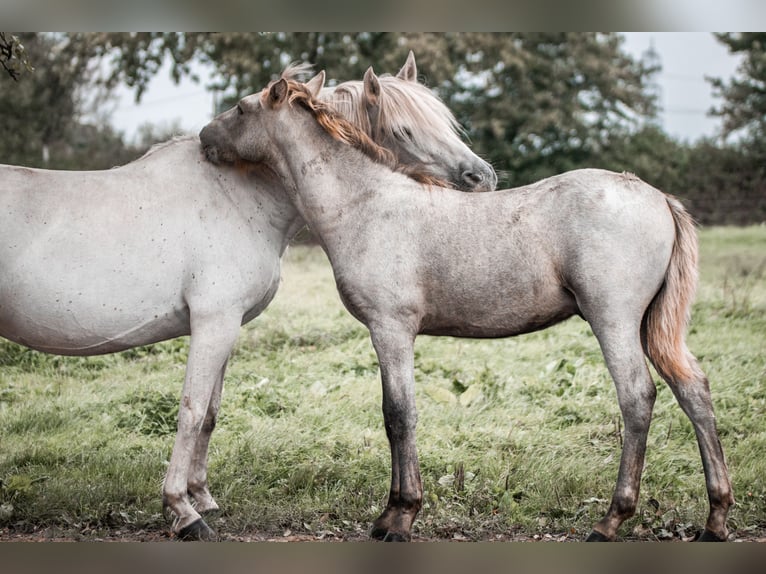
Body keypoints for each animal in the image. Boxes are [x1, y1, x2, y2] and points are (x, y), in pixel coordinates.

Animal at [0, 51, 496, 544]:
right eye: (403, 130)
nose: (483, 177)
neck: (237, 195)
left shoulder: (225, 326)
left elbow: (210, 413)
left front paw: (202, 498)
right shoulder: (213, 322)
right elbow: (191, 411)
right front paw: (183, 513)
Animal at [200, 76, 736, 544]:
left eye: (243, 109)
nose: (204, 137)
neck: (367, 205)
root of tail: (657, 196)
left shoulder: (391, 329)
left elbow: (398, 414)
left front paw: (400, 518)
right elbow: (394, 416)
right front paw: (388, 514)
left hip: (614, 320)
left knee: (637, 398)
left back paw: (610, 521)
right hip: (650, 326)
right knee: (693, 390)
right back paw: (715, 520)